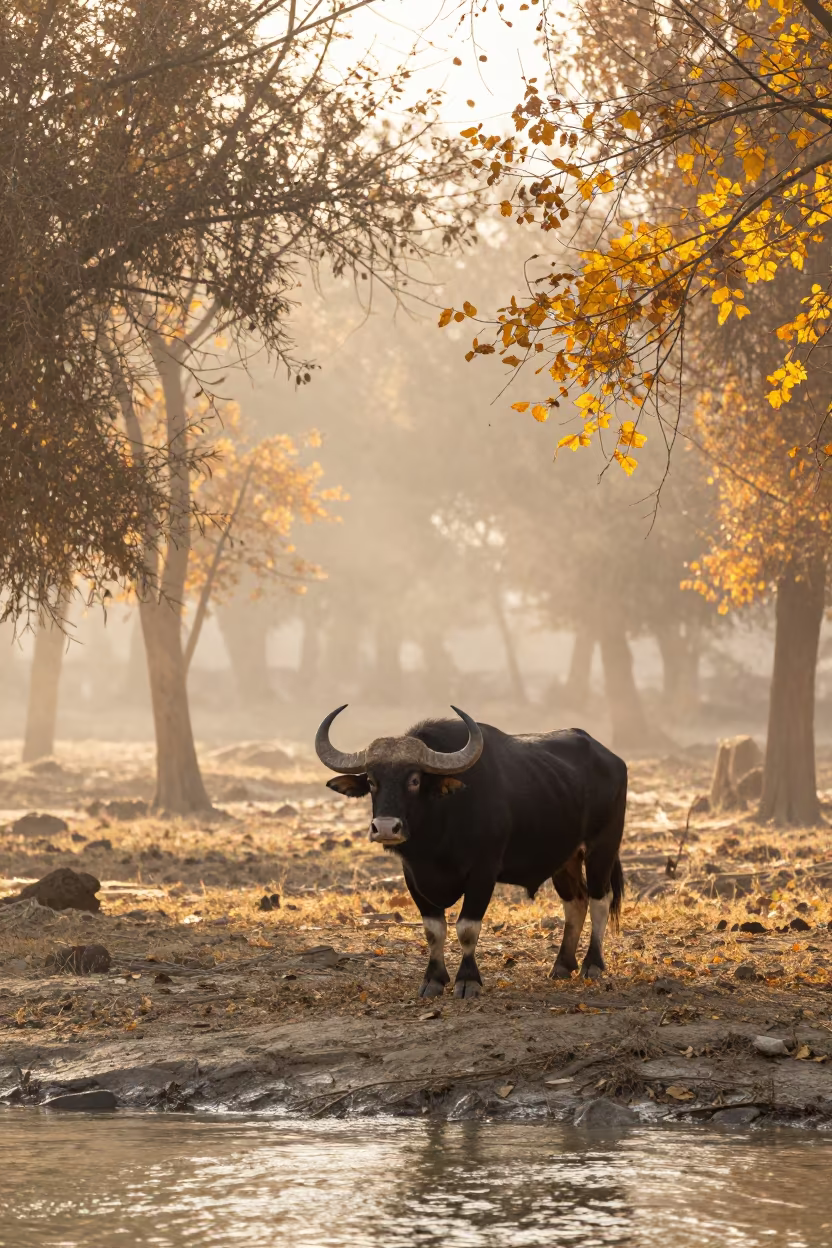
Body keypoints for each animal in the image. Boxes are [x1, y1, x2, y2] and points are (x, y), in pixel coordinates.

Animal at [315, 705, 626, 999]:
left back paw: (592, 964)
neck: (438, 833)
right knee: (576, 901)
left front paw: (467, 981)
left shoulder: (483, 872)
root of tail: (613, 760)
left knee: (600, 900)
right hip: (565, 859)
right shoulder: (412, 876)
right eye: (371, 781)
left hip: (602, 848)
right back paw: (562, 965)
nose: (385, 828)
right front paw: (433, 980)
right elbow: (433, 930)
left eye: (414, 780)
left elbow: (467, 928)